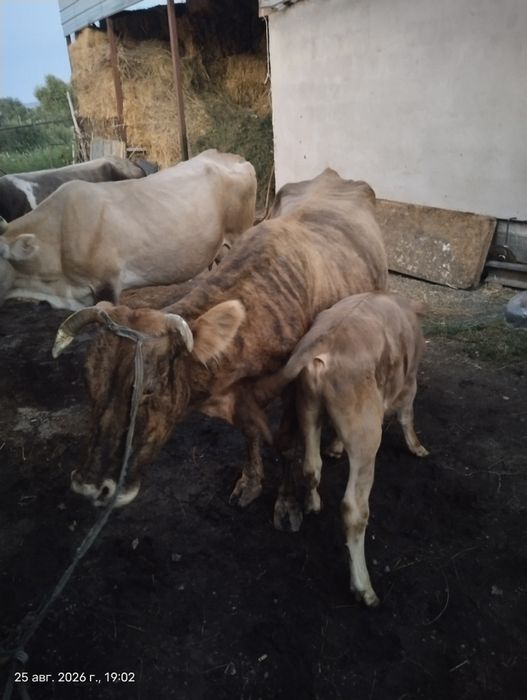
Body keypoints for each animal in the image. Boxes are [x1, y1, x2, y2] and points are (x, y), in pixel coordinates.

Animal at [51, 168, 388, 518]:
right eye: (89, 381)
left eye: (148, 390)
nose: (90, 487)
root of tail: (332, 176)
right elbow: (251, 433)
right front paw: (250, 483)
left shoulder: (298, 388)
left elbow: (287, 444)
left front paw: (287, 502)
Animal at [260, 292, 429, 606]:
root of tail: (326, 340)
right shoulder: (409, 380)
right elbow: (407, 414)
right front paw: (417, 447)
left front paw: (335, 448)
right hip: (366, 435)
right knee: (354, 509)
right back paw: (364, 587)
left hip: (308, 408)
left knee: (311, 466)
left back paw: (313, 503)